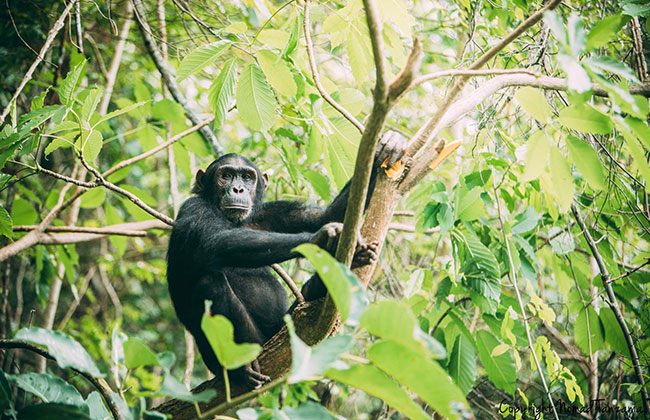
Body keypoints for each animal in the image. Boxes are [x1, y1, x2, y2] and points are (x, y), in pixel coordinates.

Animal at [165, 130, 402, 388]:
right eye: (225, 176)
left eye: (247, 177)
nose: (237, 189)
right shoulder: (194, 209)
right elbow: (217, 241)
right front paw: (322, 239)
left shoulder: (273, 213)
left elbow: (324, 215)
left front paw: (387, 146)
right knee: (210, 283)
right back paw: (240, 367)